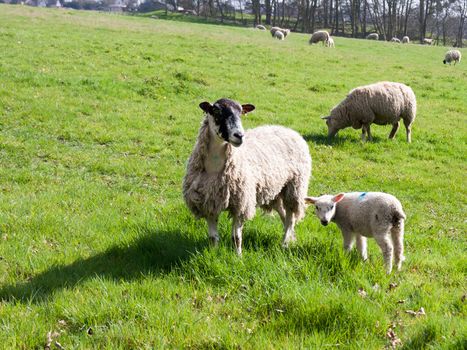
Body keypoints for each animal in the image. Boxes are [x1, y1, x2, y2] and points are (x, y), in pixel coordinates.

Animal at [183, 98, 310, 254]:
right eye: (216, 111)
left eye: (241, 113)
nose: (239, 136)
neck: (214, 167)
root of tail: (289, 130)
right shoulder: (209, 202)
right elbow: (213, 237)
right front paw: (213, 254)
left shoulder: (241, 203)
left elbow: (236, 237)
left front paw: (238, 256)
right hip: (275, 192)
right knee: (284, 215)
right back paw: (290, 238)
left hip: (294, 187)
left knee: (290, 217)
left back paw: (285, 243)